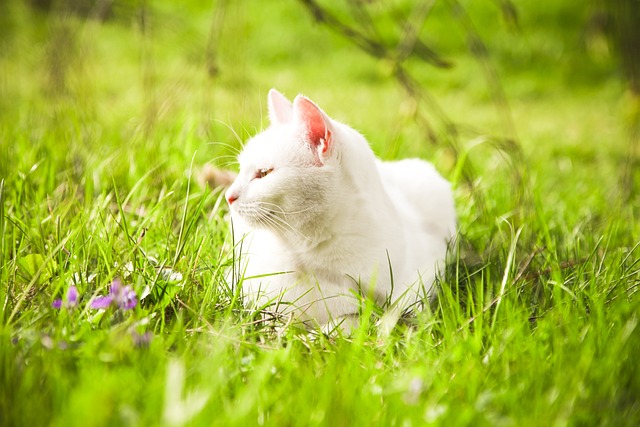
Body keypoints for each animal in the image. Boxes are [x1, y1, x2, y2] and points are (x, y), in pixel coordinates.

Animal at [225, 89, 456, 332]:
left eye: (264, 173)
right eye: (241, 169)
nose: (229, 195)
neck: (307, 255)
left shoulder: (412, 294)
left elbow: (348, 322)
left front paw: (316, 334)